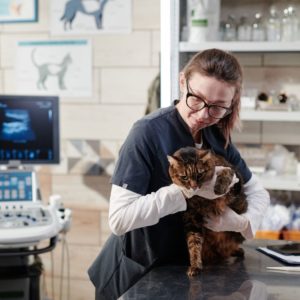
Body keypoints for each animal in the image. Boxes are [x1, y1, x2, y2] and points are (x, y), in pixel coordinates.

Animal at [168, 147, 247, 276]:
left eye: (200, 174)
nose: (194, 186)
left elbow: (227, 172)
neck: (200, 198)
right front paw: (195, 266)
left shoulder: (237, 182)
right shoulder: (192, 219)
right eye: (184, 177)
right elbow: (193, 245)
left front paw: (219, 187)